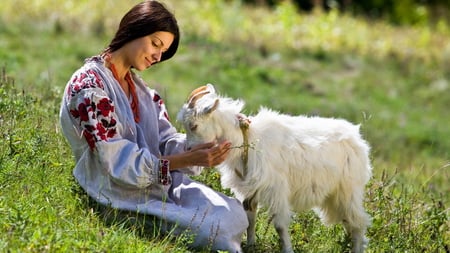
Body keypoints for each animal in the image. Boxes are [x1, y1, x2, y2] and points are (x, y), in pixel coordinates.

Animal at [178, 84, 370, 252]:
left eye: (194, 125)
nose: (188, 150)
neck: (248, 140)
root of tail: (357, 137)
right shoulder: (249, 190)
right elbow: (250, 219)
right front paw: (251, 245)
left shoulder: (275, 189)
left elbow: (280, 225)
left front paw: (287, 250)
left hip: (348, 189)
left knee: (358, 223)